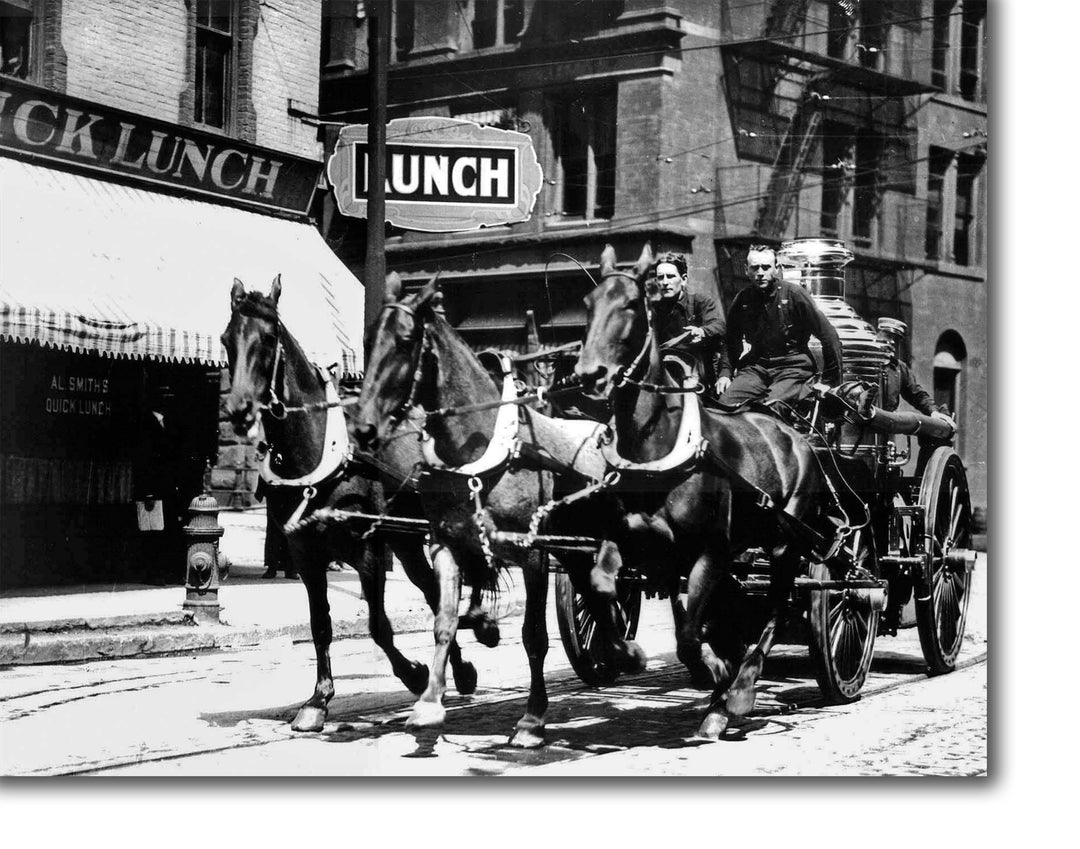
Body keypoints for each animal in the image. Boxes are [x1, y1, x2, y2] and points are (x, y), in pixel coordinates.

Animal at [220, 274, 496, 730]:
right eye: (227, 340)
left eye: (268, 337)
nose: (239, 411)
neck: (320, 452)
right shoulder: (305, 553)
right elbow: (320, 624)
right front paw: (318, 699)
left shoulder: (367, 552)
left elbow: (378, 625)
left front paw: (414, 674)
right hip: (406, 542)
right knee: (434, 594)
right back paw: (459, 668)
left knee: (435, 595)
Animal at [354, 274, 639, 743]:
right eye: (367, 340)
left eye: (406, 340)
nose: (362, 428)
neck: (482, 451)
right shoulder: (448, 545)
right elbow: (444, 621)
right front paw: (429, 703)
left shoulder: (533, 552)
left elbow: (534, 636)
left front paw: (532, 718)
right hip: (576, 549)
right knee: (600, 594)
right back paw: (619, 651)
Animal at [574, 243, 825, 734]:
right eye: (588, 304)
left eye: (632, 306)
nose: (589, 374)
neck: (658, 445)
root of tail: (792, 431)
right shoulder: (636, 542)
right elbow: (601, 586)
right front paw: (628, 653)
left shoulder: (708, 549)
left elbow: (690, 634)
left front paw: (716, 676)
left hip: (785, 542)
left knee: (776, 608)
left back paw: (741, 690)